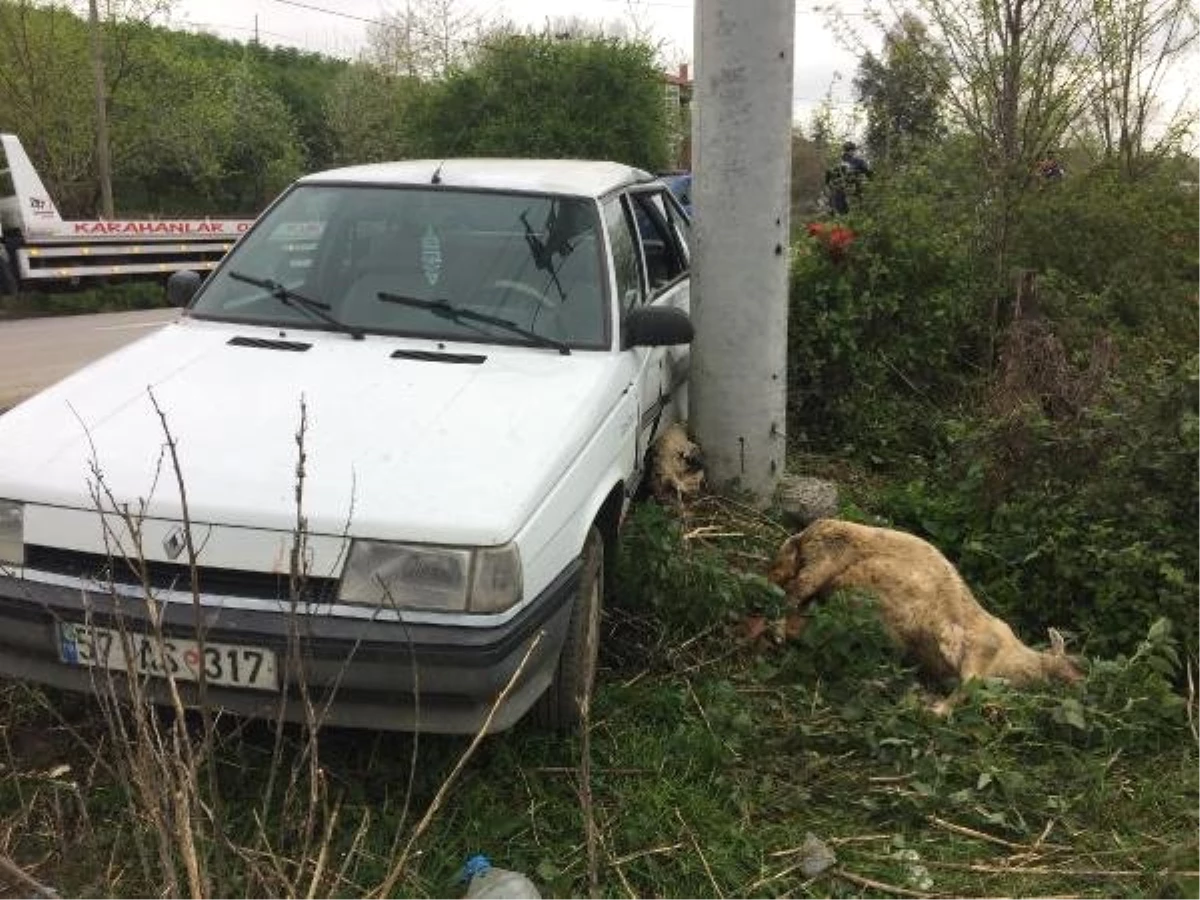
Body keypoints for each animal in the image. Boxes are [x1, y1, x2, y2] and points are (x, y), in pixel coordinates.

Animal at [772, 518, 1084, 710]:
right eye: (1071, 662)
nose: (1082, 686)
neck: (1015, 660)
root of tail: (804, 534)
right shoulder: (978, 649)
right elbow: (967, 688)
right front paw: (933, 709)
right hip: (822, 562)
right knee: (790, 596)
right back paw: (776, 633)